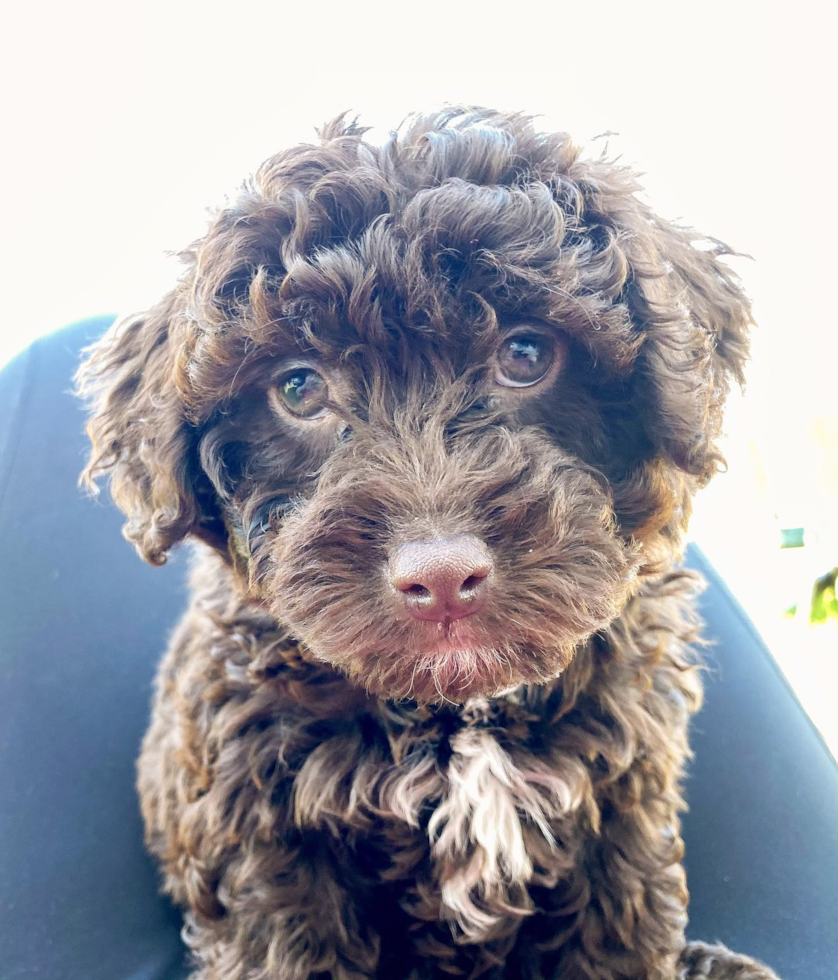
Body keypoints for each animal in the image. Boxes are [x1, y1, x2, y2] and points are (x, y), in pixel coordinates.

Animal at [77, 107, 780, 980]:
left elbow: (618, 937)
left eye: (526, 353)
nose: (441, 577)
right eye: (298, 388)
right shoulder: (267, 842)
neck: (458, 715)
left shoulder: (621, 804)